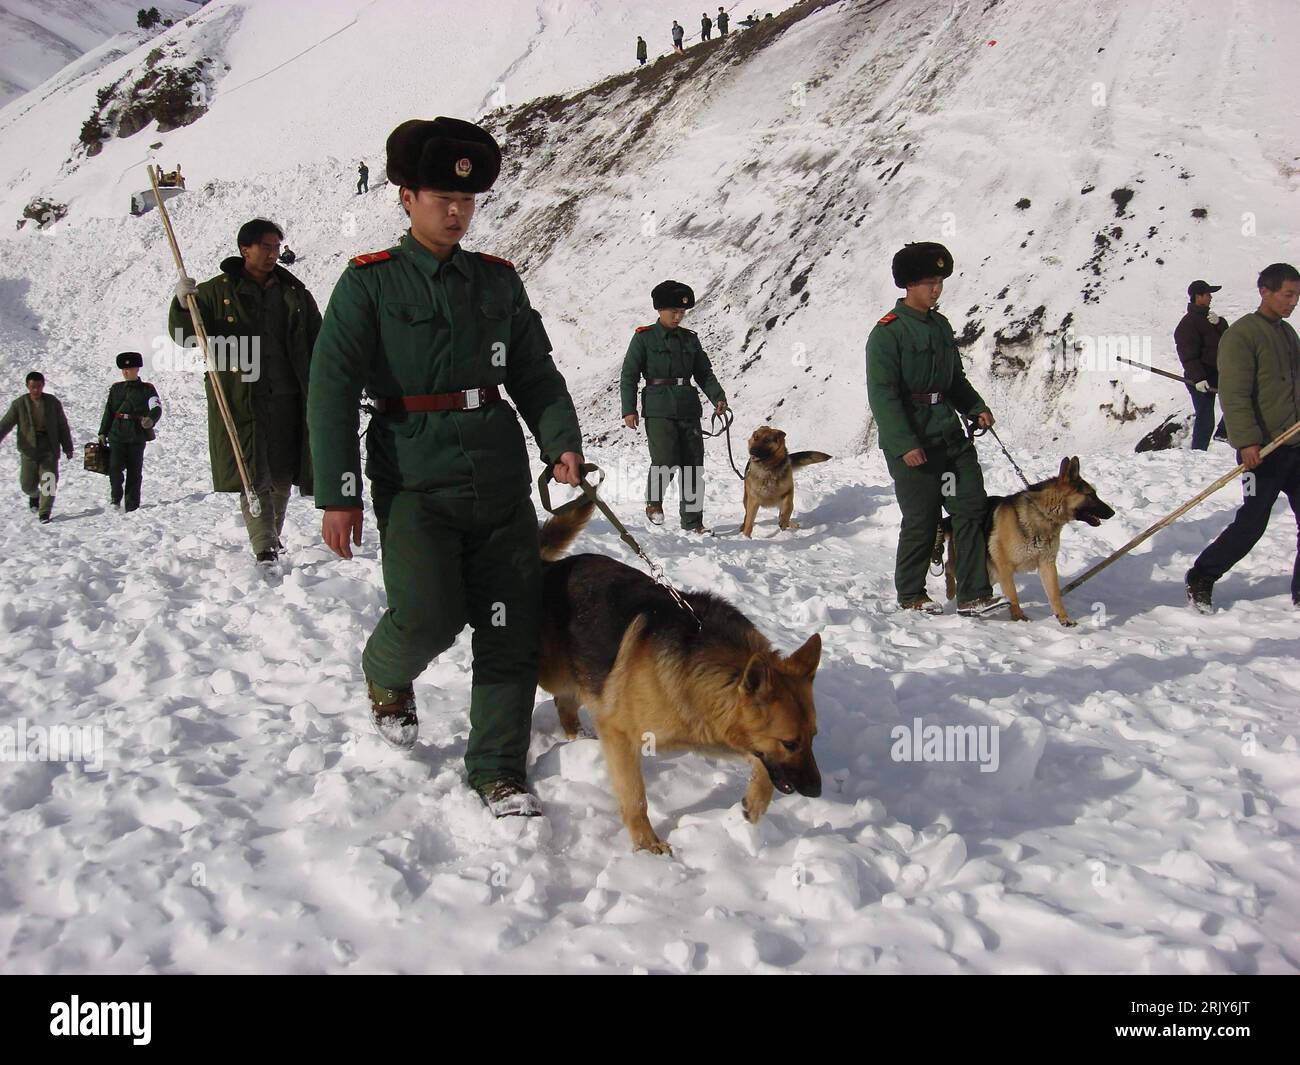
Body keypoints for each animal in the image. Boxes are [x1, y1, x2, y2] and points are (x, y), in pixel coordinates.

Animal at [538, 501, 821, 858]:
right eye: (790, 743)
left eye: (813, 737)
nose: (817, 790)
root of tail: (547, 568)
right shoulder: (619, 734)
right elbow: (635, 797)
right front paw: (646, 845)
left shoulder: (719, 732)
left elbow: (762, 764)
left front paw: (755, 803)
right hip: (549, 671)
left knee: (566, 703)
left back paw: (577, 736)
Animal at [941, 455, 1112, 624]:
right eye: (1090, 495)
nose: (1113, 512)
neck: (1043, 514)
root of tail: (953, 520)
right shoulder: (1005, 567)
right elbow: (1012, 595)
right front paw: (1018, 617)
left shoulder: (1047, 564)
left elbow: (1055, 594)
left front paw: (1064, 618)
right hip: (983, 568)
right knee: (949, 565)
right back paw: (950, 591)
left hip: (990, 573)